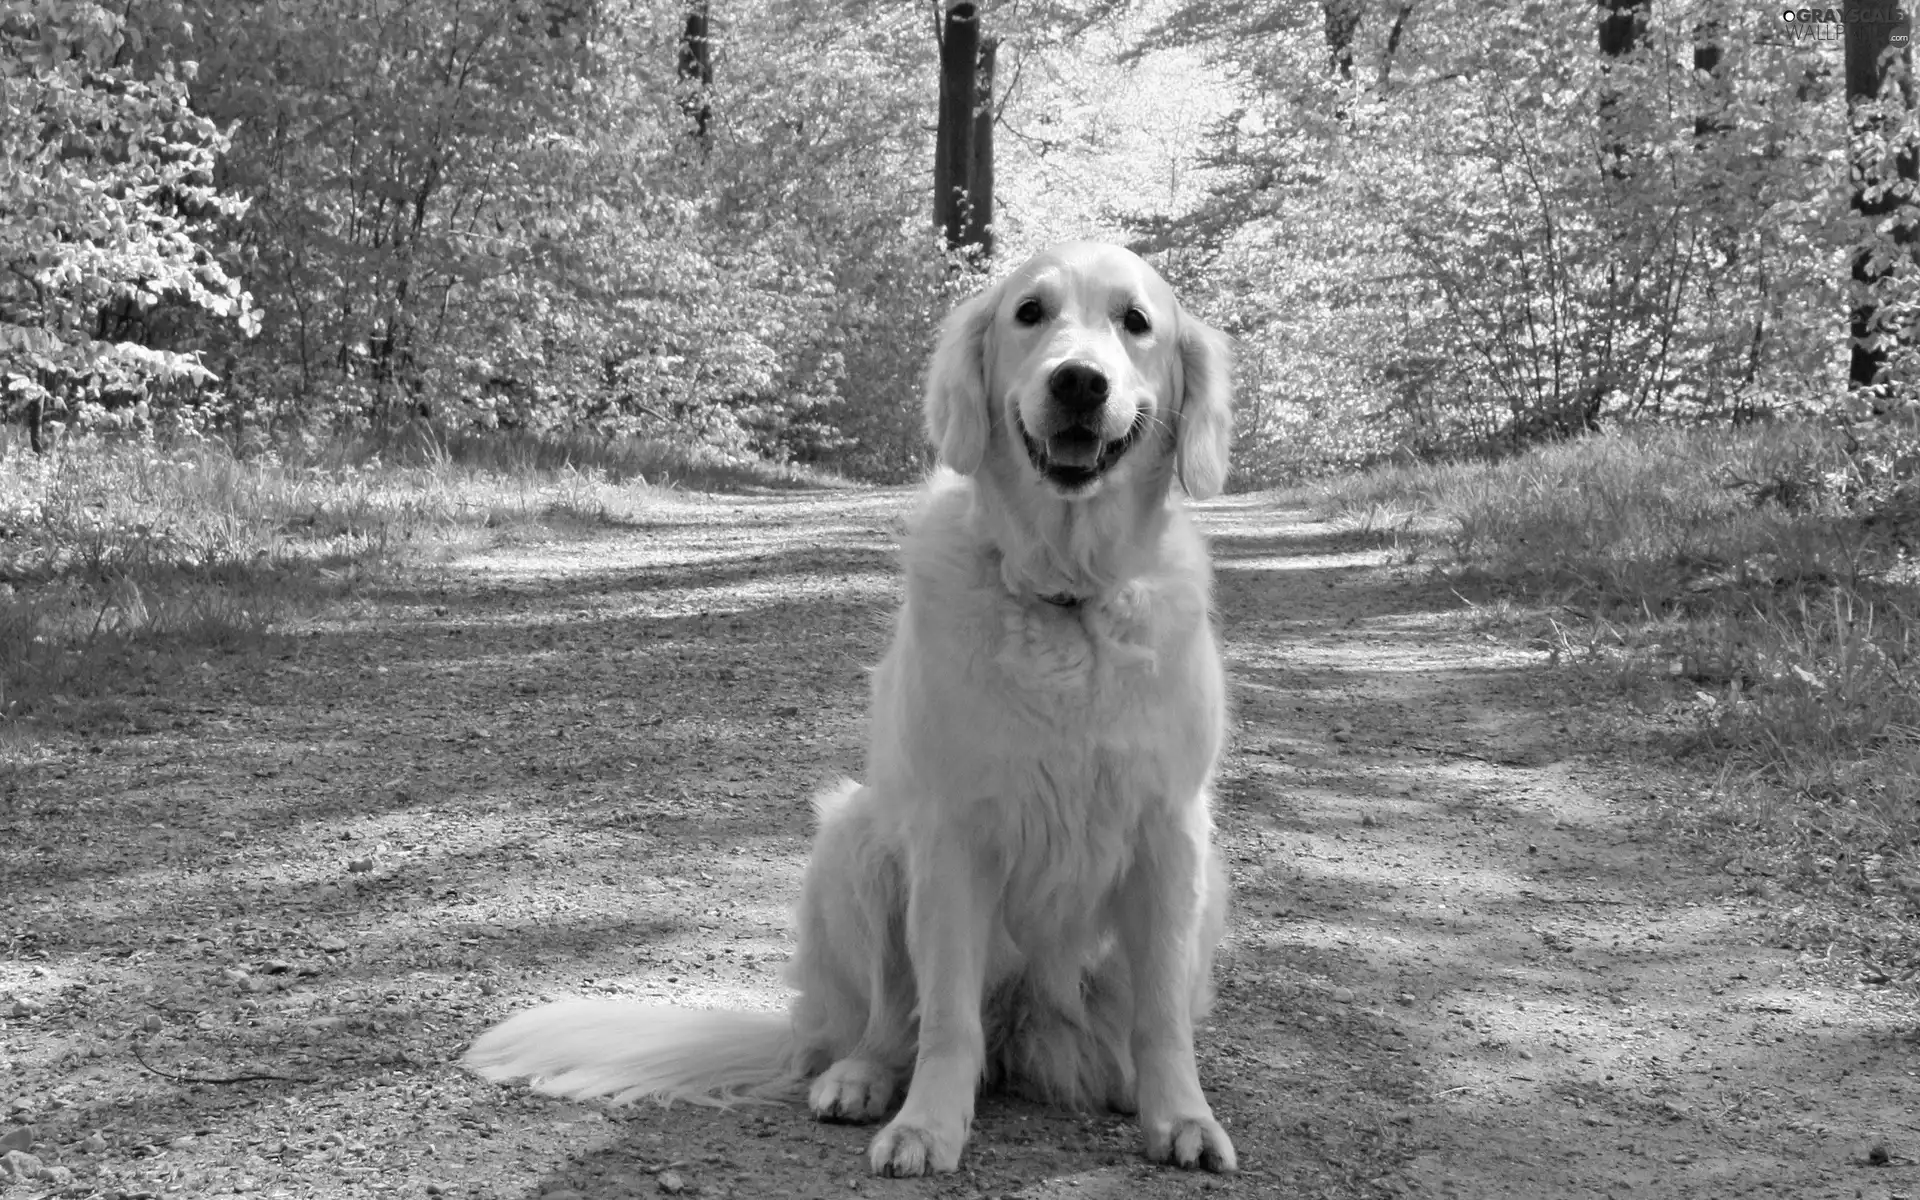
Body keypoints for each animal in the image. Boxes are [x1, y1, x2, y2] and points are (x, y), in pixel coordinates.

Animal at [468, 239, 1244, 1175]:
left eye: (1136, 322)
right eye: (1030, 313)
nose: (1079, 383)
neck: (1066, 597)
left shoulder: (1170, 833)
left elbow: (1162, 1016)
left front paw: (1182, 1117)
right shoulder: (951, 837)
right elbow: (944, 1019)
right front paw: (927, 1126)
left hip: (1205, 886)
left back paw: (1122, 1081)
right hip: (856, 841)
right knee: (886, 1023)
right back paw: (861, 1081)